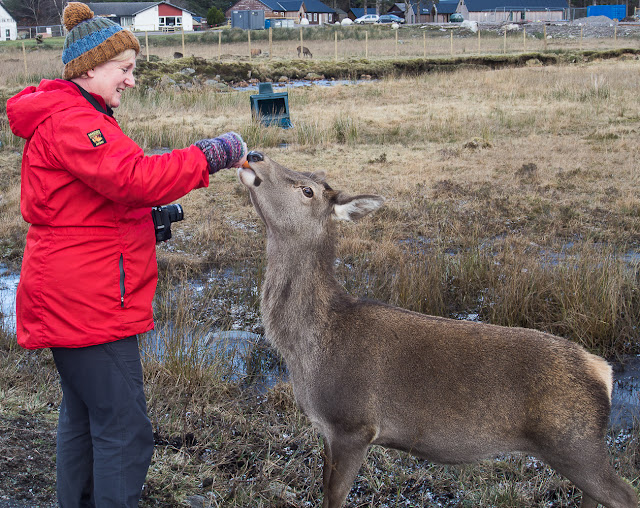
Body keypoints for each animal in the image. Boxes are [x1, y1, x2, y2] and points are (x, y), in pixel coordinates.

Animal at [238, 151, 636, 508]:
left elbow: (333, 498)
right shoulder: (327, 430)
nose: (254, 155)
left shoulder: (353, 424)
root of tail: (603, 371)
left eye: (308, 190)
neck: (309, 347)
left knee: (626, 494)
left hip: (575, 442)